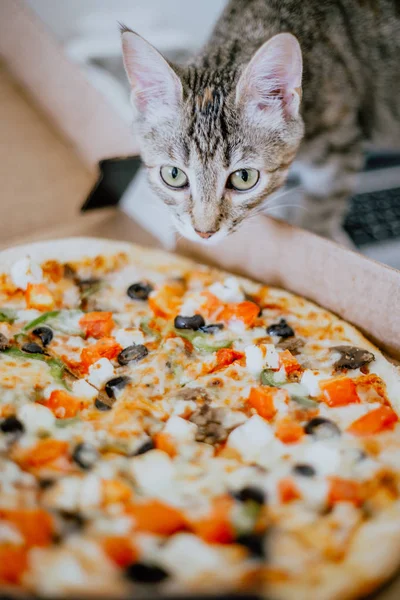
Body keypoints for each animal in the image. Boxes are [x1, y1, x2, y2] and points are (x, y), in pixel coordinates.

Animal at [120, 0, 400, 244]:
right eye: (173, 175)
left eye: (244, 178)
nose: (204, 232)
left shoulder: (341, 147)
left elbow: (322, 211)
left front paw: (318, 234)